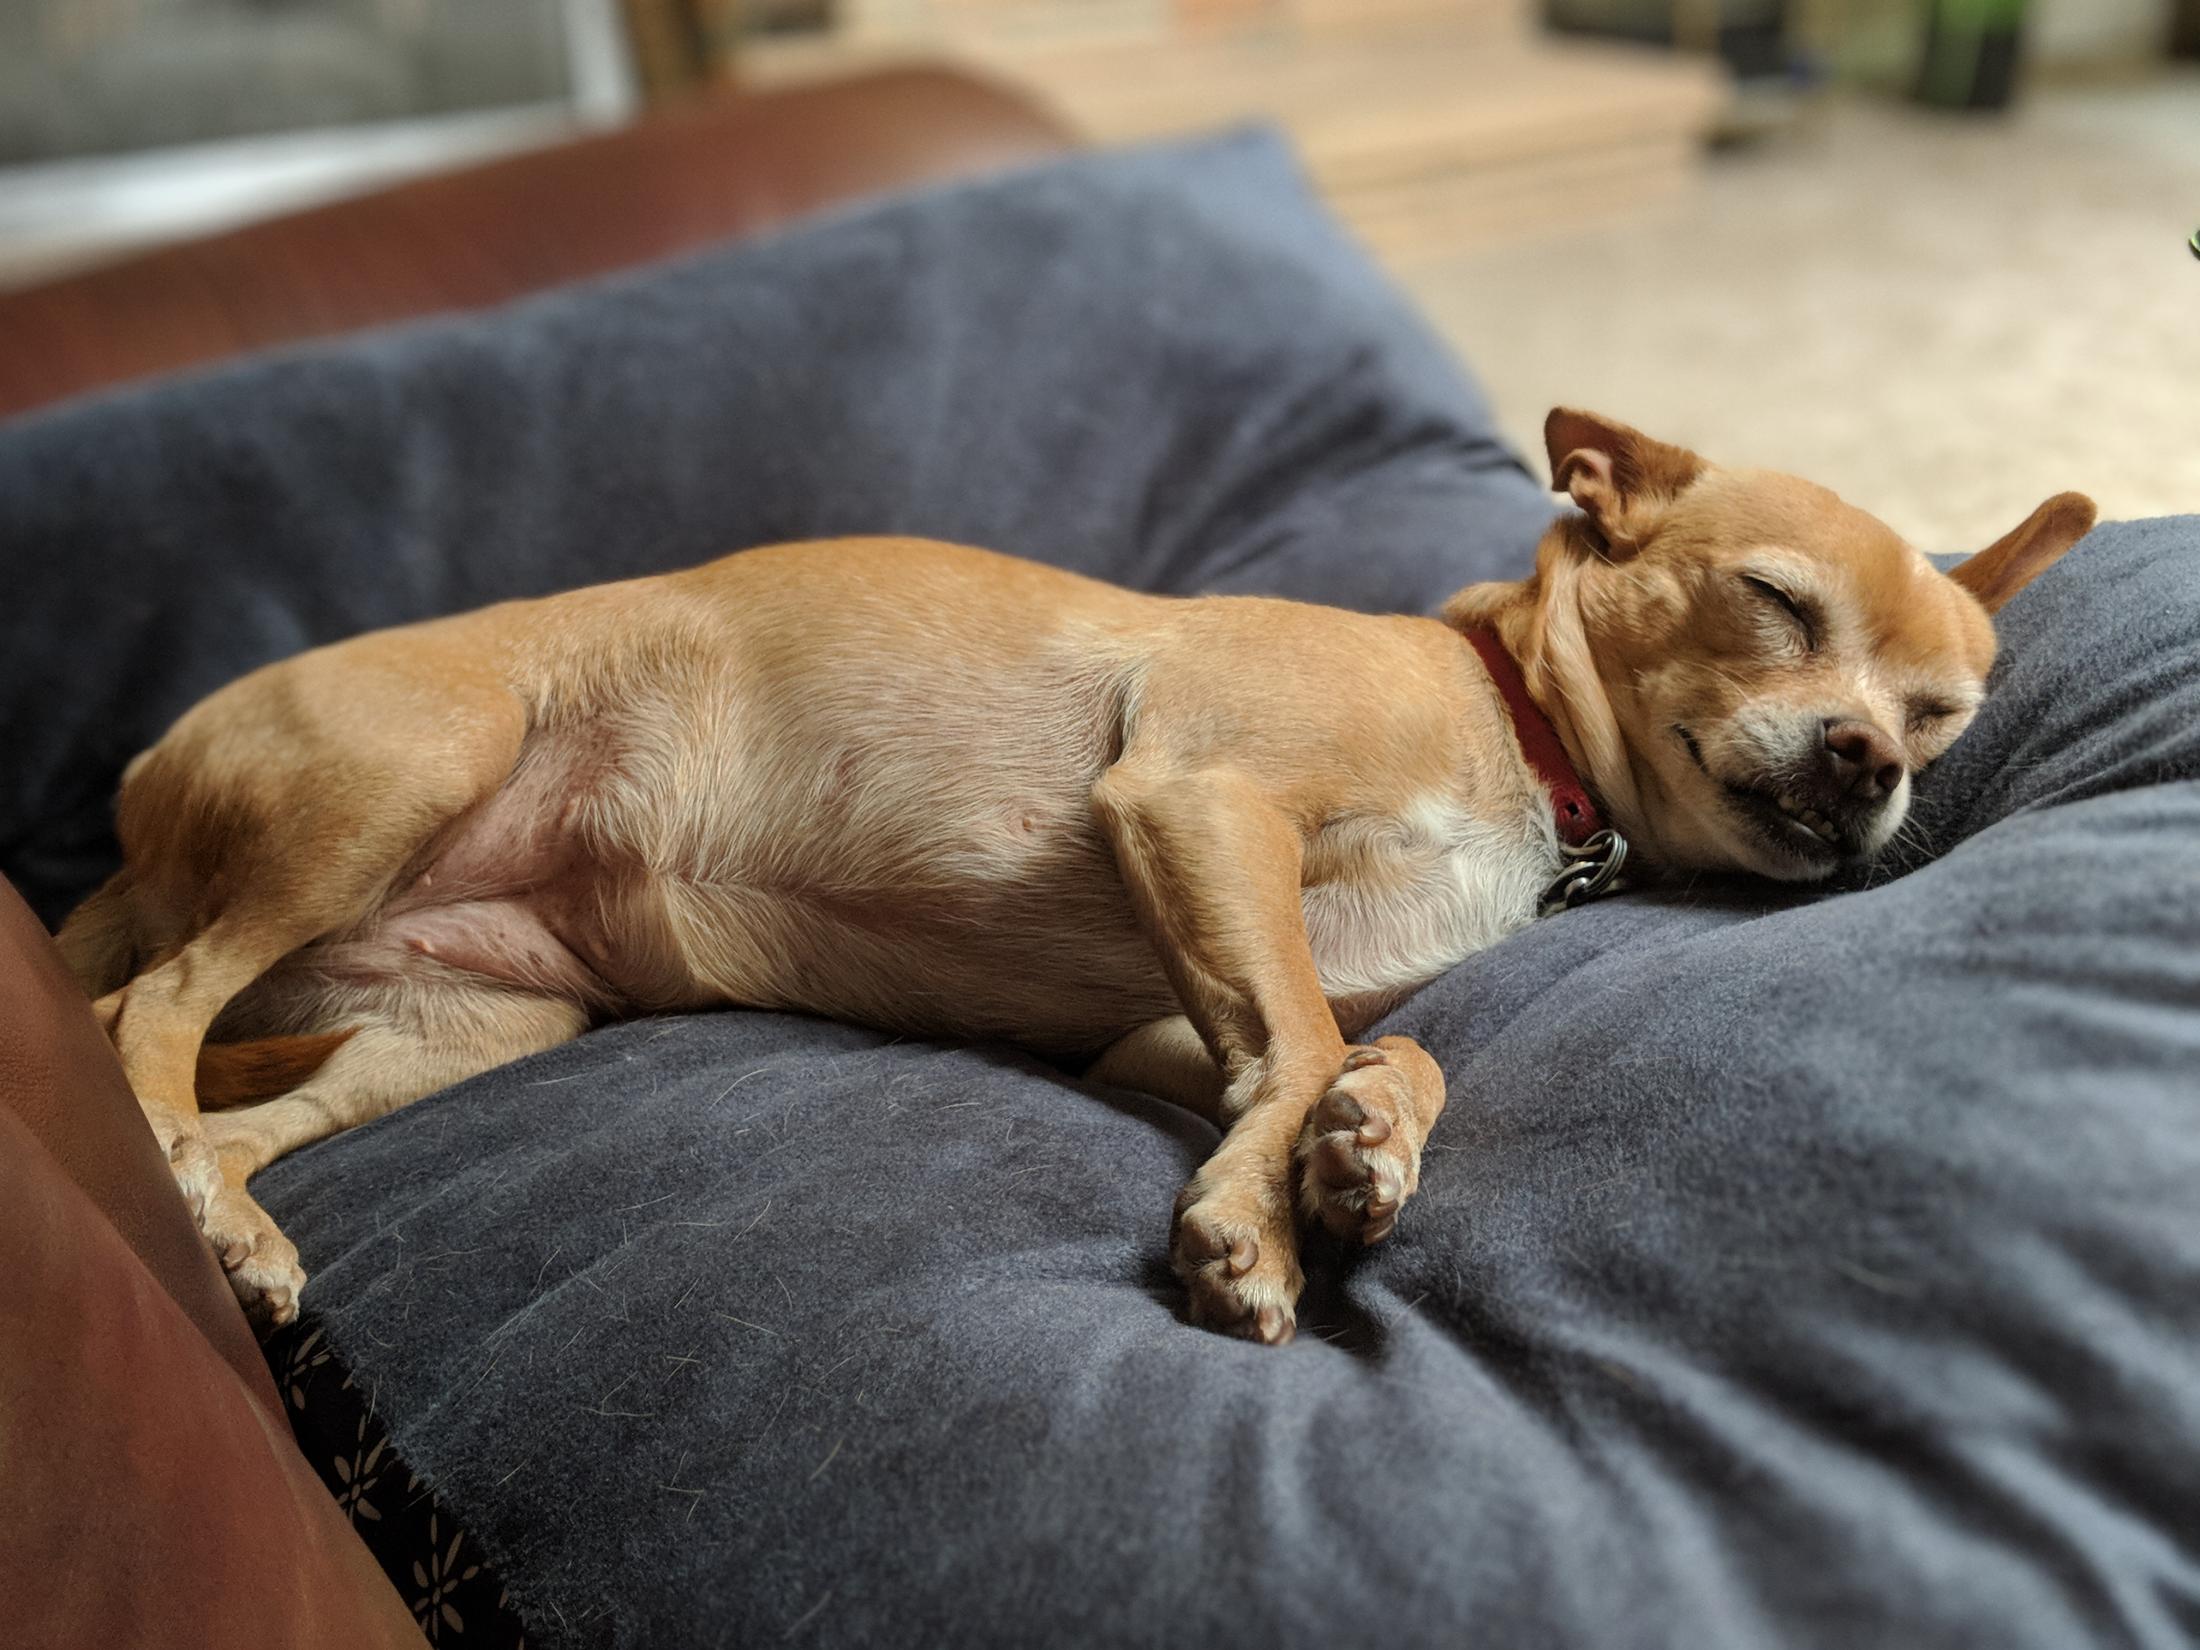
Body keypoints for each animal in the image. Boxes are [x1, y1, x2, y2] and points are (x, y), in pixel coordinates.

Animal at [60, 411, 2094, 1346]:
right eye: (1775, 602)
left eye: (1944, 711)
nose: (1871, 768)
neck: (1515, 736)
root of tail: (133, 811)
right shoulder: (1196, 805)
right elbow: (1294, 1031)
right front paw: (1259, 1223)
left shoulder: (1166, 1025)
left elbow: (1359, 1045)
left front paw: (1369, 1141)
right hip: (405, 778)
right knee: (144, 1015)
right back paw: (163, 1132)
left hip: (473, 1018)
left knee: (234, 1112)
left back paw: (231, 1228)